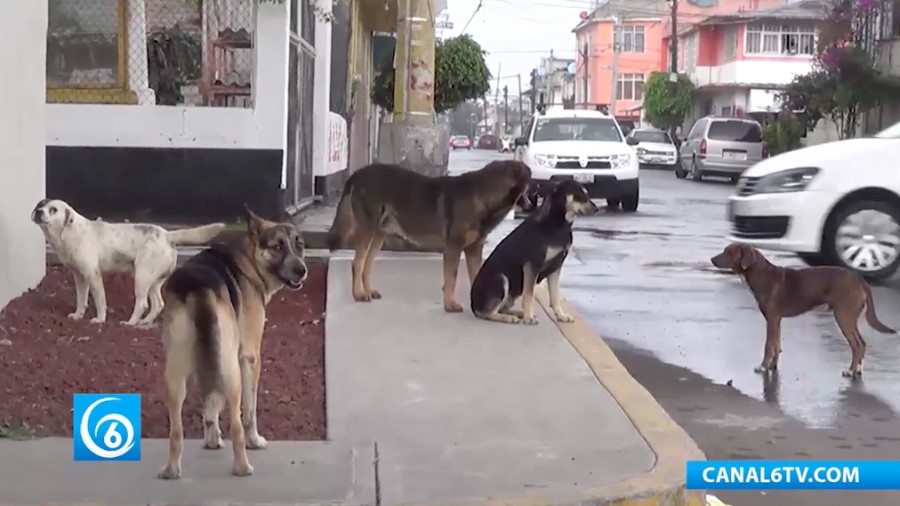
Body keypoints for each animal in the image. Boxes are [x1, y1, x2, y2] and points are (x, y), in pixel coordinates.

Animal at [33, 198, 227, 324]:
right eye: (40, 205)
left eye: (53, 209)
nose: (38, 212)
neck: (68, 232)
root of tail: (167, 235)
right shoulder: (79, 276)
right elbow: (81, 299)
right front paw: (78, 315)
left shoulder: (93, 276)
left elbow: (100, 301)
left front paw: (100, 319)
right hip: (152, 280)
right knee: (158, 304)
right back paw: (144, 323)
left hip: (141, 277)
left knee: (142, 303)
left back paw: (130, 323)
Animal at [326, 161, 532, 312]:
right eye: (529, 180)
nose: (532, 201)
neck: (485, 194)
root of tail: (357, 173)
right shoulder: (453, 247)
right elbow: (451, 278)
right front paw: (450, 304)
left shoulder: (474, 249)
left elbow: (476, 275)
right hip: (368, 230)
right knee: (358, 263)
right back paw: (359, 294)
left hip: (379, 234)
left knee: (367, 265)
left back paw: (368, 290)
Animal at [468, 180, 600, 326]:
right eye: (578, 194)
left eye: (586, 193)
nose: (596, 209)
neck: (557, 224)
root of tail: (473, 305)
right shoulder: (532, 266)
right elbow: (529, 295)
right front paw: (529, 318)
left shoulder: (555, 268)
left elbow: (555, 296)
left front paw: (561, 315)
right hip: (501, 279)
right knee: (487, 313)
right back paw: (508, 318)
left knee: (501, 308)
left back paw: (516, 313)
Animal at [712, 243, 892, 378]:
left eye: (729, 252)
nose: (712, 259)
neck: (761, 274)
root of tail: (859, 280)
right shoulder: (776, 320)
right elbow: (776, 345)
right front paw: (772, 366)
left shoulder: (771, 319)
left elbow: (768, 346)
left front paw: (763, 367)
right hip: (848, 317)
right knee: (861, 343)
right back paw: (858, 369)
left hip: (843, 316)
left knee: (857, 344)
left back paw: (851, 371)